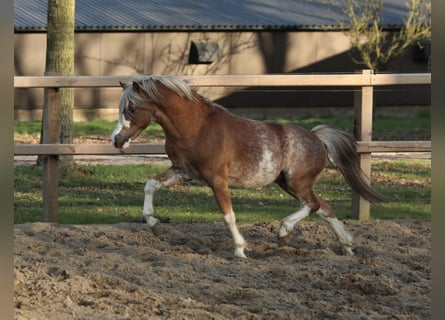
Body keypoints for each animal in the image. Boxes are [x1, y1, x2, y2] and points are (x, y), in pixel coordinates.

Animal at [110, 75, 382, 258]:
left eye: (131, 108)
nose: (116, 140)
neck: (196, 128)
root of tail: (317, 137)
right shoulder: (183, 172)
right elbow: (150, 184)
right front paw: (153, 223)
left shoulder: (217, 179)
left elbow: (227, 215)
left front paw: (240, 249)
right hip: (288, 184)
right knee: (324, 207)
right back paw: (346, 246)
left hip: (297, 183)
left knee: (314, 205)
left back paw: (284, 231)